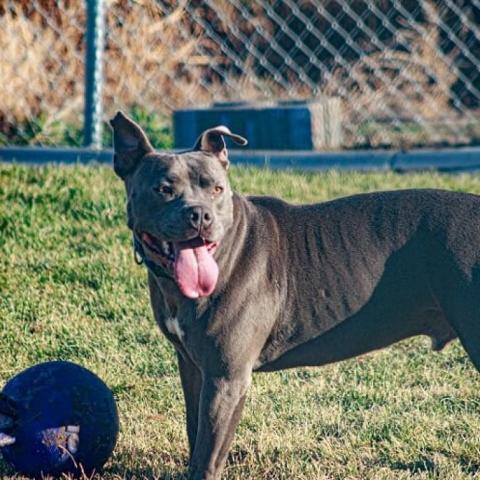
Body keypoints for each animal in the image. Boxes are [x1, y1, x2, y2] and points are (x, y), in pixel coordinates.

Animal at [110, 111, 480, 480]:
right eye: (163, 189)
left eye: (217, 189)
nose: (200, 214)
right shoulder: (193, 367)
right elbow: (194, 432)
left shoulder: (226, 378)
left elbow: (208, 455)